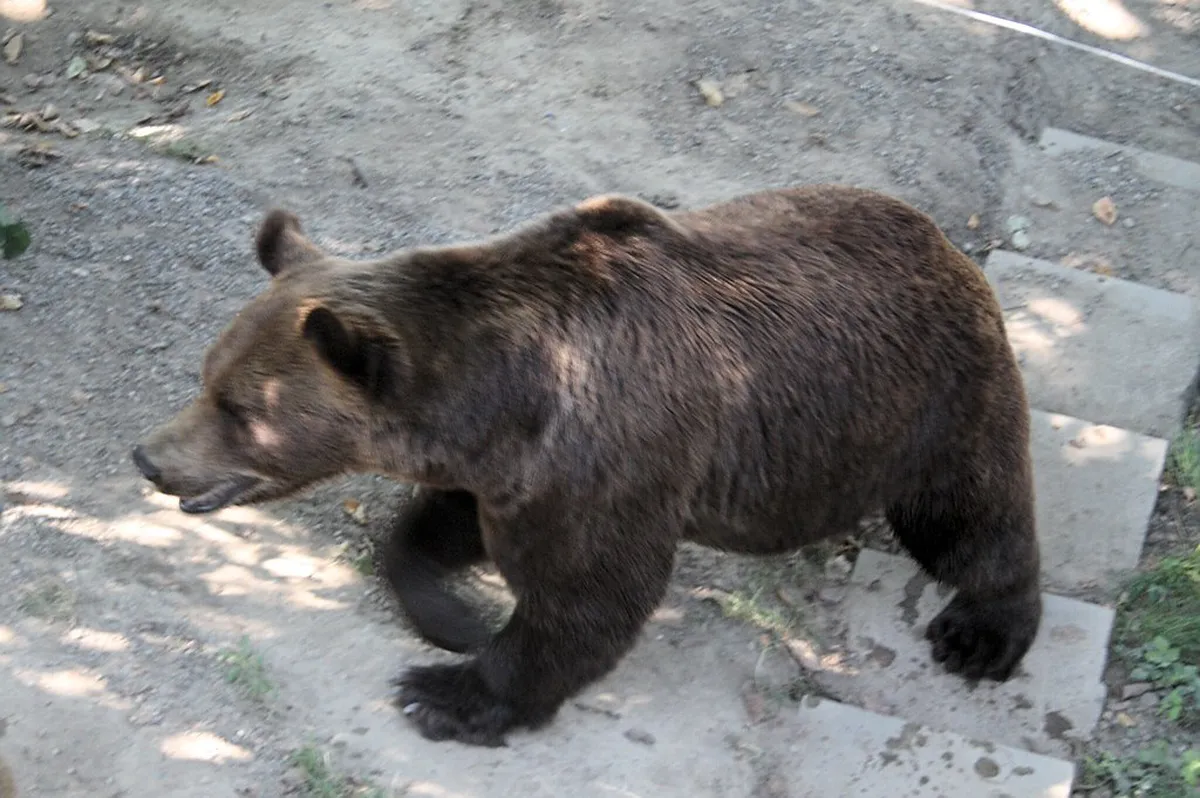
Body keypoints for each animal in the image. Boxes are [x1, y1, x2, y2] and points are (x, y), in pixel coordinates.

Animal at [132, 185, 1042, 748]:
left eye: (241, 409)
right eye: (206, 376)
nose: (150, 458)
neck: (503, 393)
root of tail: (944, 241)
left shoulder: (607, 458)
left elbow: (589, 595)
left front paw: (447, 691)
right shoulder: (507, 466)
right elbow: (437, 530)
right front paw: (457, 616)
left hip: (927, 401)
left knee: (970, 514)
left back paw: (982, 633)